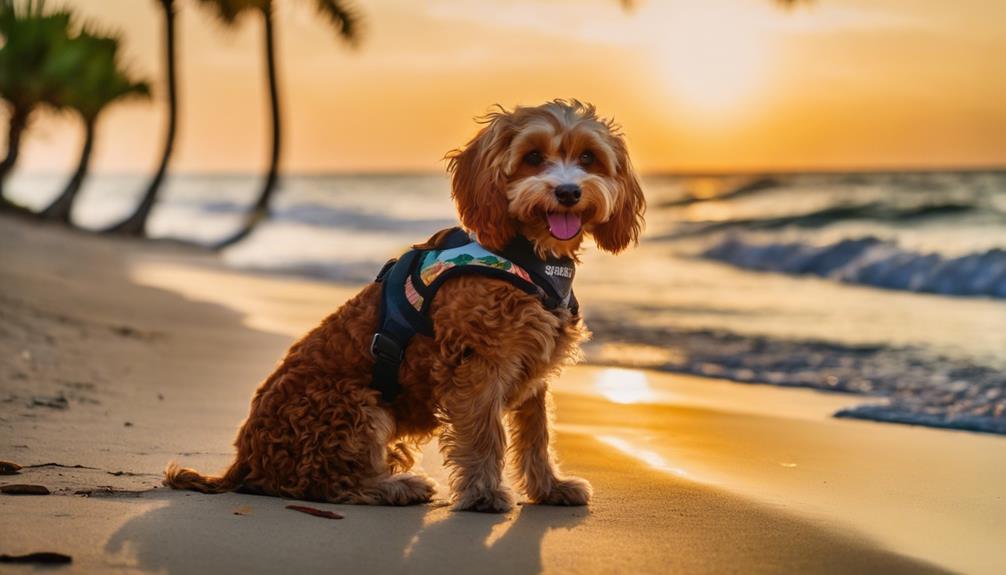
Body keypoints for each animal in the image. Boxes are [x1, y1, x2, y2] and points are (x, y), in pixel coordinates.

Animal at [162, 100, 643, 512]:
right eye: (533, 157)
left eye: (588, 158)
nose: (568, 192)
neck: (528, 255)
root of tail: (244, 460)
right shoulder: (477, 365)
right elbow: (485, 436)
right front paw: (484, 495)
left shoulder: (532, 368)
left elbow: (536, 435)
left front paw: (549, 487)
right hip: (354, 405)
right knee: (330, 483)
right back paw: (395, 487)